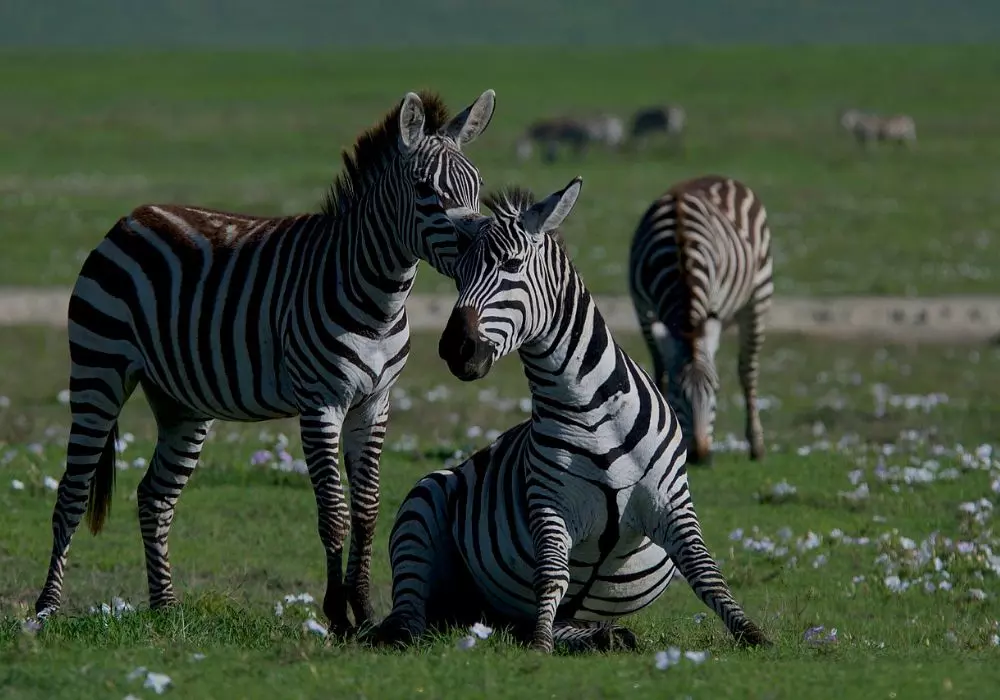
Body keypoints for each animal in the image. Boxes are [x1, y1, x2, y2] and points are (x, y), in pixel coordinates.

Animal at [29, 87, 498, 636]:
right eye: (425, 189)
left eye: (478, 187)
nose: (482, 249)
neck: (379, 300)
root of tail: (132, 217)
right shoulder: (321, 404)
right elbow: (334, 512)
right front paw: (337, 615)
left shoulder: (374, 403)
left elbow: (367, 510)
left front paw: (364, 612)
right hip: (97, 370)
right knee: (72, 493)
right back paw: (46, 609)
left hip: (182, 403)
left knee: (154, 496)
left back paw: (165, 608)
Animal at [624, 178, 772, 468]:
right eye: (677, 393)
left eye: (715, 390)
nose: (700, 455)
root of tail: (721, 177)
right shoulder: (643, 311)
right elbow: (661, 372)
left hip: (759, 295)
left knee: (748, 370)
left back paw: (757, 446)